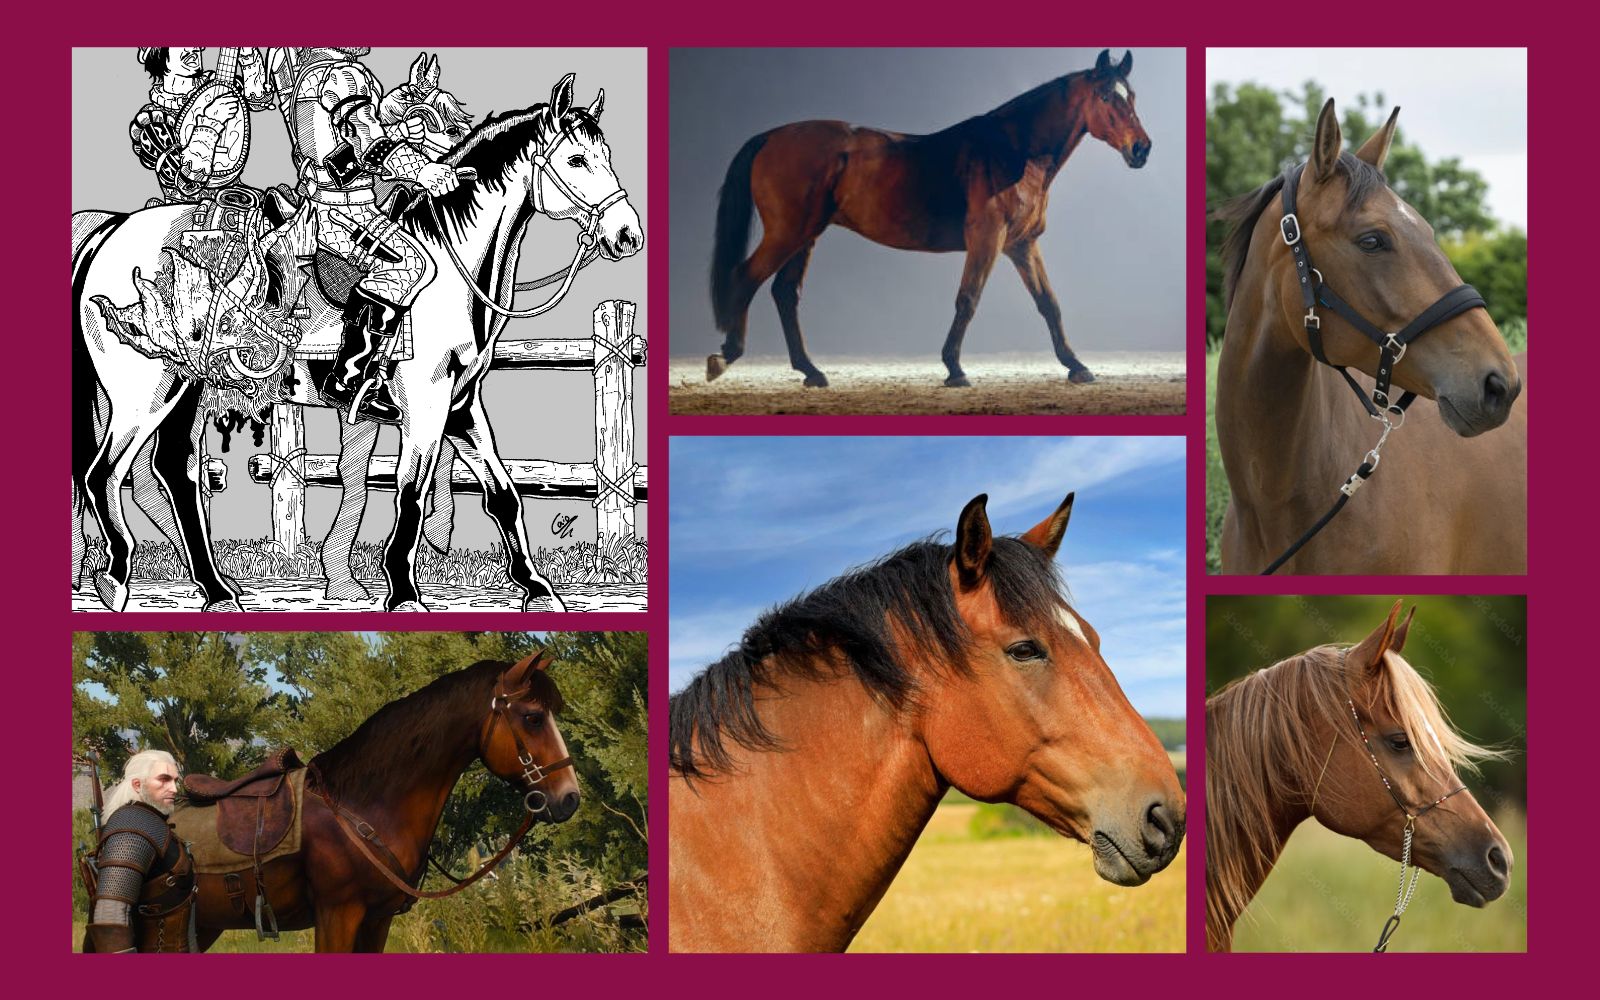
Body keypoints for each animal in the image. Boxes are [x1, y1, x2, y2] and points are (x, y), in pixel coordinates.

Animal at [72, 72, 642, 612]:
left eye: (607, 157)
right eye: (575, 158)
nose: (627, 234)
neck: (451, 267)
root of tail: (110, 233)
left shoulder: (462, 406)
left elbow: (503, 495)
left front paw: (538, 590)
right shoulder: (425, 405)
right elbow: (411, 494)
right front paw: (404, 592)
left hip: (186, 388)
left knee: (174, 471)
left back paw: (215, 590)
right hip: (143, 394)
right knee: (104, 475)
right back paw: (114, 579)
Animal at [704, 48, 1151, 390]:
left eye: (1131, 96)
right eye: (1106, 97)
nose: (1141, 149)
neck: (1014, 152)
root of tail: (771, 136)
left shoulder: (1022, 245)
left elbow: (1049, 303)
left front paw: (1078, 366)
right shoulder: (987, 239)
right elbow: (968, 299)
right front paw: (954, 369)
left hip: (805, 236)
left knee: (784, 293)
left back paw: (811, 372)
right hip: (788, 232)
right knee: (747, 277)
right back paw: (725, 357)